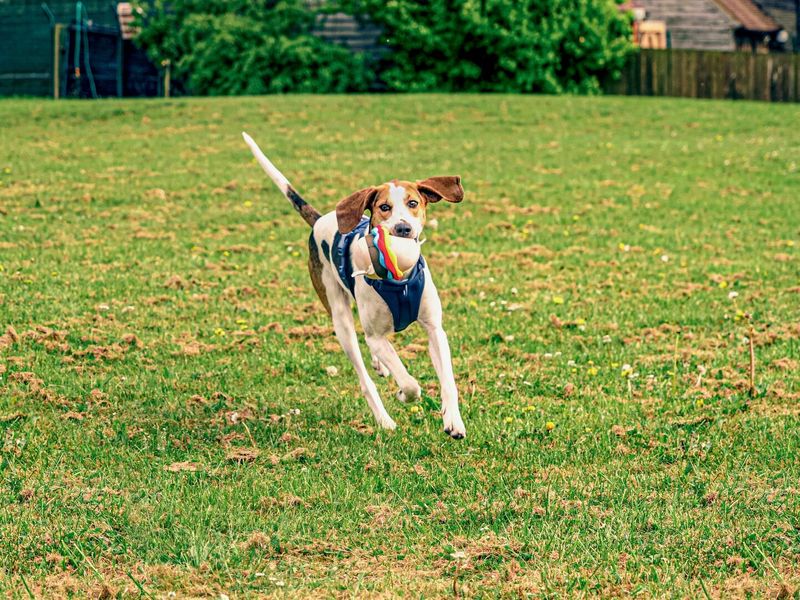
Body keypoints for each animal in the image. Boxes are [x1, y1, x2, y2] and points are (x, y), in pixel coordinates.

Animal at [241, 134, 466, 438]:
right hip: (340, 318)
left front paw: (453, 420)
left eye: (413, 203)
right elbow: (409, 383)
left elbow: (448, 381)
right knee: (364, 375)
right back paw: (384, 419)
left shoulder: (434, 328)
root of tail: (321, 220)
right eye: (384, 207)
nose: (403, 228)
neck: (398, 282)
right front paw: (403, 393)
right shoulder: (376, 336)